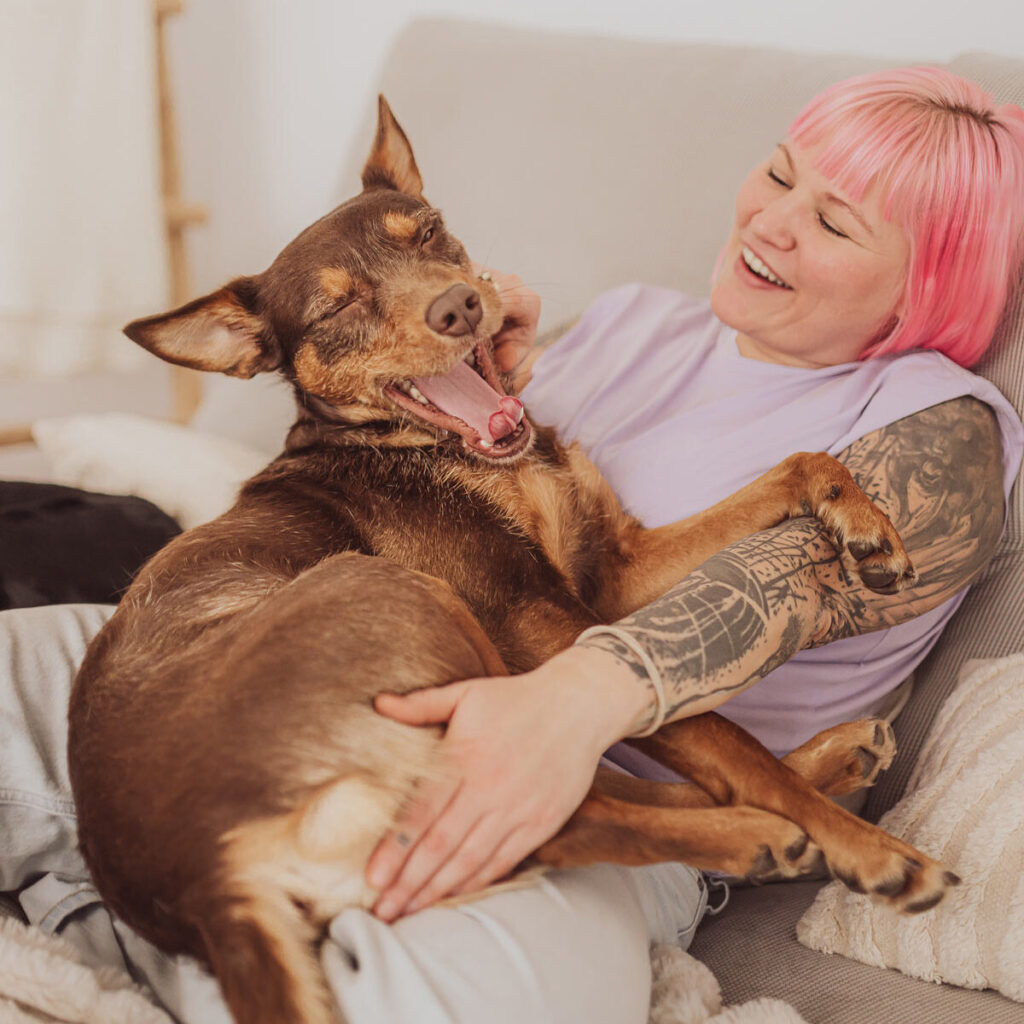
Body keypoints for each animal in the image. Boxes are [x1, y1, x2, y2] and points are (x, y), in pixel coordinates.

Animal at [68, 97, 954, 1024]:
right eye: (337, 309)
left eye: (427, 231)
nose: (462, 305)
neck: (470, 456)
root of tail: (207, 887)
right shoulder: (544, 615)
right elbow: (723, 736)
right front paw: (862, 845)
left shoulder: (615, 571)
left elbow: (796, 465)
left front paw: (864, 523)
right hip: (401, 595)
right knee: (553, 813)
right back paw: (776, 829)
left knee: (588, 791)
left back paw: (819, 773)